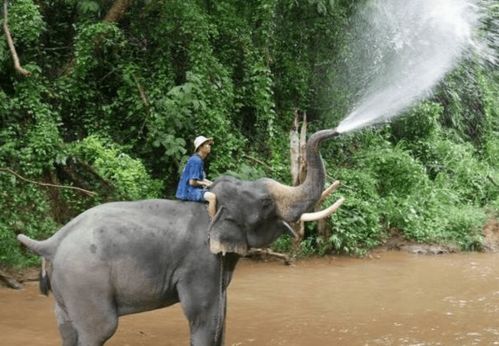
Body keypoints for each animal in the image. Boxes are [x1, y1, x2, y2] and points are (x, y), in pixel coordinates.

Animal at [16, 127, 344, 346]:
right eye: (265, 203)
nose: (336, 131)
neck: (211, 206)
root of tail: (51, 242)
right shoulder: (198, 263)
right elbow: (203, 315)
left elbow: (222, 313)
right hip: (85, 281)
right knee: (99, 330)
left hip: (66, 288)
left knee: (67, 330)